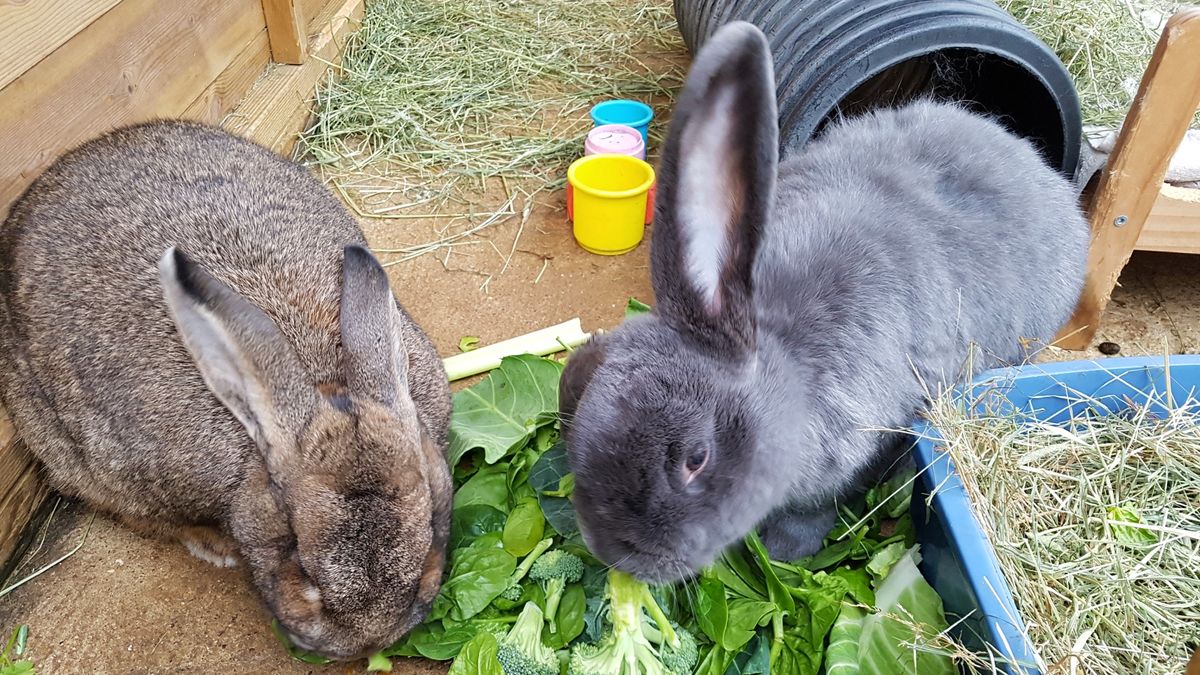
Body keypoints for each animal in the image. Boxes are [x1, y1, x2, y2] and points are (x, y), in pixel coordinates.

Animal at [556, 21, 1094, 578]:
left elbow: (815, 509)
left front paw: (783, 552)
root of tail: (1039, 169)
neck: (779, 351)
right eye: (574, 388)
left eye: (695, 458)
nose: (617, 556)